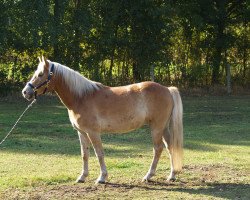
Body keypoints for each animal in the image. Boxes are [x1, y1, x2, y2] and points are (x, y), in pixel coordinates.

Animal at [22, 56, 184, 184]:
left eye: (40, 74)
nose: (26, 92)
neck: (81, 97)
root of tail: (167, 89)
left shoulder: (93, 132)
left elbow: (99, 153)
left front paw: (102, 177)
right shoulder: (81, 132)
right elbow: (85, 154)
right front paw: (82, 177)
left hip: (156, 127)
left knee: (158, 149)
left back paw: (148, 176)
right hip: (163, 128)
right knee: (170, 147)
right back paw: (172, 175)